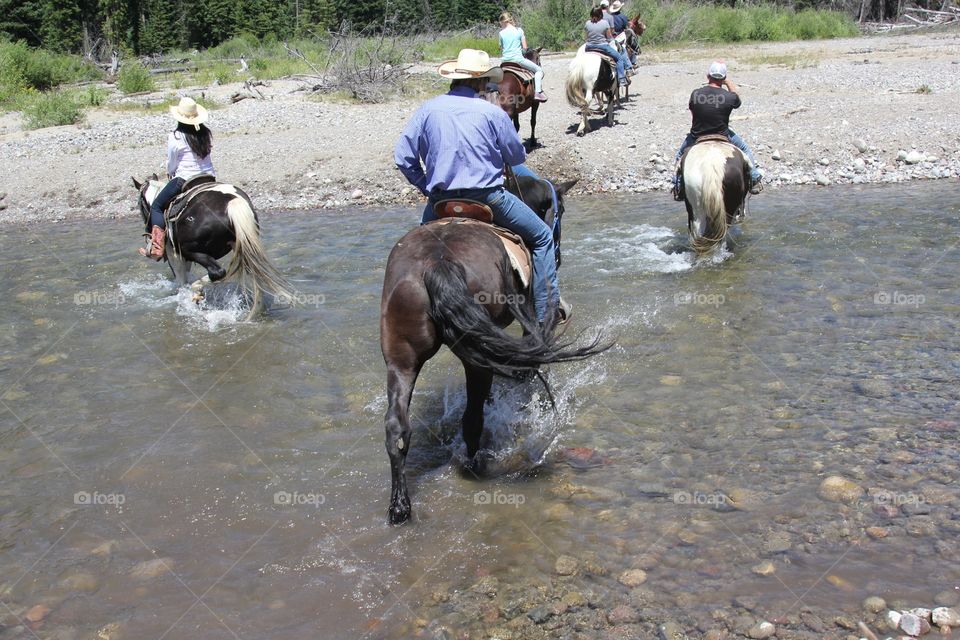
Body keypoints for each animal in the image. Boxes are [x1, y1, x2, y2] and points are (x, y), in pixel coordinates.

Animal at [131, 175, 290, 316]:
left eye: (140, 205)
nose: (148, 235)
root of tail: (233, 203)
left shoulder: (174, 255)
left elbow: (181, 282)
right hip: (245, 245)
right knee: (254, 275)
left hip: (192, 250)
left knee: (217, 272)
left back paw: (197, 291)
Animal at [378, 178, 604, 524]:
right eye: (561, 210)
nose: (558, 253)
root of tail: (437, 263)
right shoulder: (530, 322)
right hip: (474, 359)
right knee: (472, 419)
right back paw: (476, 466)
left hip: (401, 359)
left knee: (396, 428)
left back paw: (400, 507)